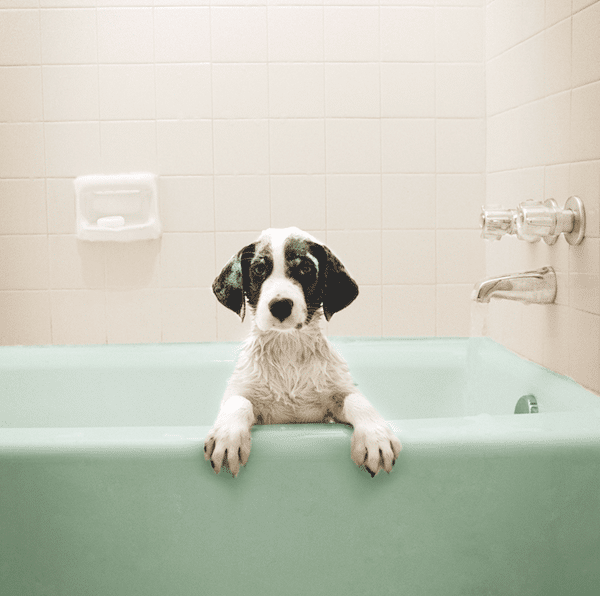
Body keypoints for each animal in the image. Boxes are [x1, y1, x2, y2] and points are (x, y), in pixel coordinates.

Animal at [204, 226, 400, 478]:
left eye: (305, 268)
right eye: (259, 269)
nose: (280, 306)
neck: (288, 349)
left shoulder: (334, 401)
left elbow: (357, 400)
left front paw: (376, 437)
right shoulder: (244, 391)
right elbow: (238, 402)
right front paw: (227, 437)